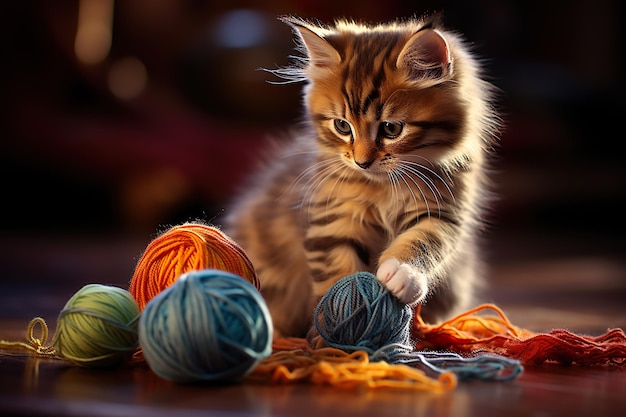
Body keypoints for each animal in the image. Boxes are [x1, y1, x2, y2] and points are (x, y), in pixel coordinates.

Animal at [222, 16, 494, 340]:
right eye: (342, 126)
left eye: (391, 129)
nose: (362, 162)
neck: (385, 185)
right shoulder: (332, 219)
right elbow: (338, 278)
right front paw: (336, 334)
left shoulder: (444, 210)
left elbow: (423, 241)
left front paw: (403, 273)